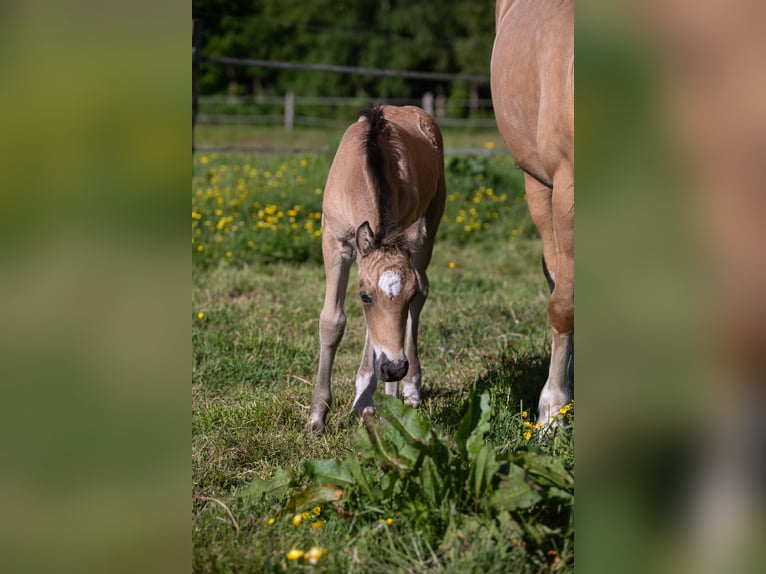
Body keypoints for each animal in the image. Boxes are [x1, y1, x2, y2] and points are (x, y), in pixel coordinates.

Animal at [309, 105, 446, 432]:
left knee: (423, 289)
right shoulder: (334, 242)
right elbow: (332, 321)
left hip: (430, 225)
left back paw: (410, 389)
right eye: (364, 297)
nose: (395, 369)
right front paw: (318, 414)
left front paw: (380, 401)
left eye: (407, 295)